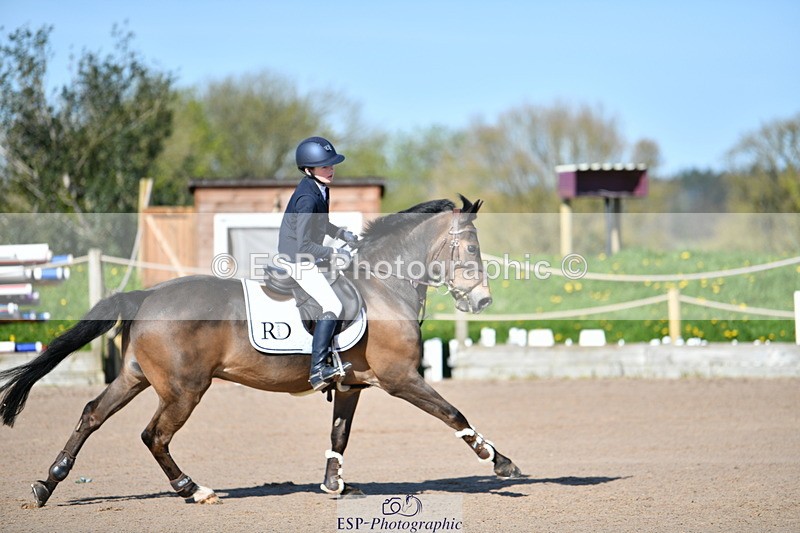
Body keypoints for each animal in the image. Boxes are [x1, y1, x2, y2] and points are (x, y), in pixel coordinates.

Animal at [0, 195, 521, 507]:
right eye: (470, 248)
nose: (482, 302)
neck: (382, 285)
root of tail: (146, 295)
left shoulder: (352, 386)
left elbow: (339, 436)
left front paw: (333, 484)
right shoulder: (401, 378)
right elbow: (453, 413)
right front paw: (499, 461)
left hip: (135, 376)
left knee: (92, 413)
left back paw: (46, 485)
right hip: (184, 389)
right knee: (154, 435)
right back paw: (194, 489)